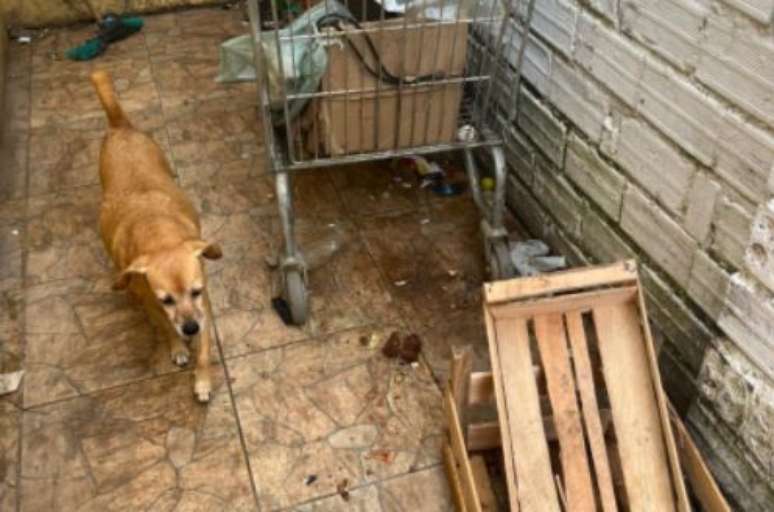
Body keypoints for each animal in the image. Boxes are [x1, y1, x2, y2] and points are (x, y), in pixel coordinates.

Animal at [91, 70, 222, 403]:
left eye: (196, 291)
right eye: (166, 299)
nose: (190, 329)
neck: (158, 235)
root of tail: (120, 126)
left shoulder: (205, 308)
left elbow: (205, 353)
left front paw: (203, 381)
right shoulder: (152, 304)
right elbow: (164, 327)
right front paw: (177, 348)